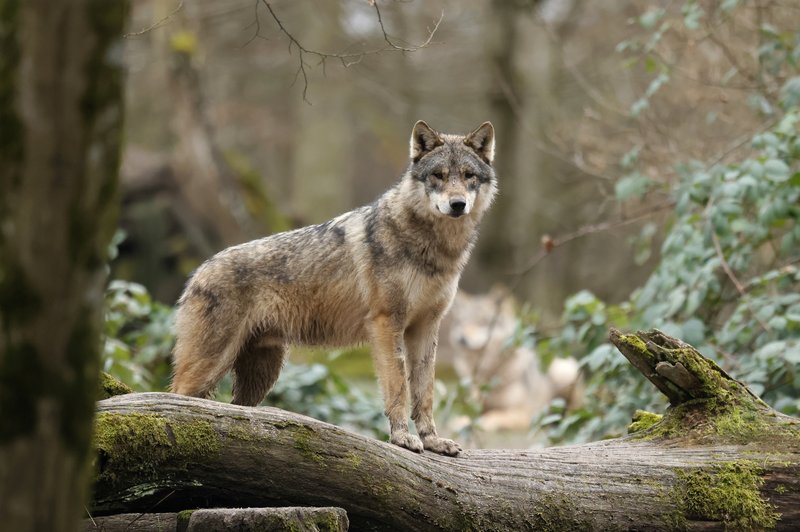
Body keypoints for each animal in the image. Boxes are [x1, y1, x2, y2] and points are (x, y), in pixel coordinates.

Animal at [172, 120, 496, 458]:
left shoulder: (425, 328)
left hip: (260, 377)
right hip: (211, 368)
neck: (435, 250)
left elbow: (425, 392)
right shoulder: (386, 324)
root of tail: (198, 271)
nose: (457, 205)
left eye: (468, 176)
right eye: (439, 175)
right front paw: (401, 438)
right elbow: (398, 388)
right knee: (174, 400)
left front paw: (432, 440)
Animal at [438, 286, 580, 432]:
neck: (490, 375)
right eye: (460, 323)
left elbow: (495, 414)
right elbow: (471, 415)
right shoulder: (477, 406)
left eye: (483, 323)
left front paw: (485, 422)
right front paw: (461, 421)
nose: (461, 339)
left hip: (564, 372)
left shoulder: (524, 415)